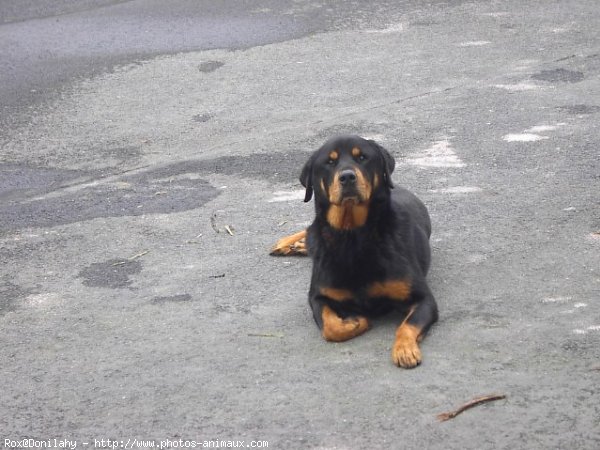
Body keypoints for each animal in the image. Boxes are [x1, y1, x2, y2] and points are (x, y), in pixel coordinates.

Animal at [270, 135, 436, 368]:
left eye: (362, 157)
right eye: (330, 162)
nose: (347, 177)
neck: (352, 236)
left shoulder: (423, 298)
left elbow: (408, 325)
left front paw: (404, 349)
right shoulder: (317, 296)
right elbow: (330, 327)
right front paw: (356, 322)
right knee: (310, 229)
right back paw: (289, 243)